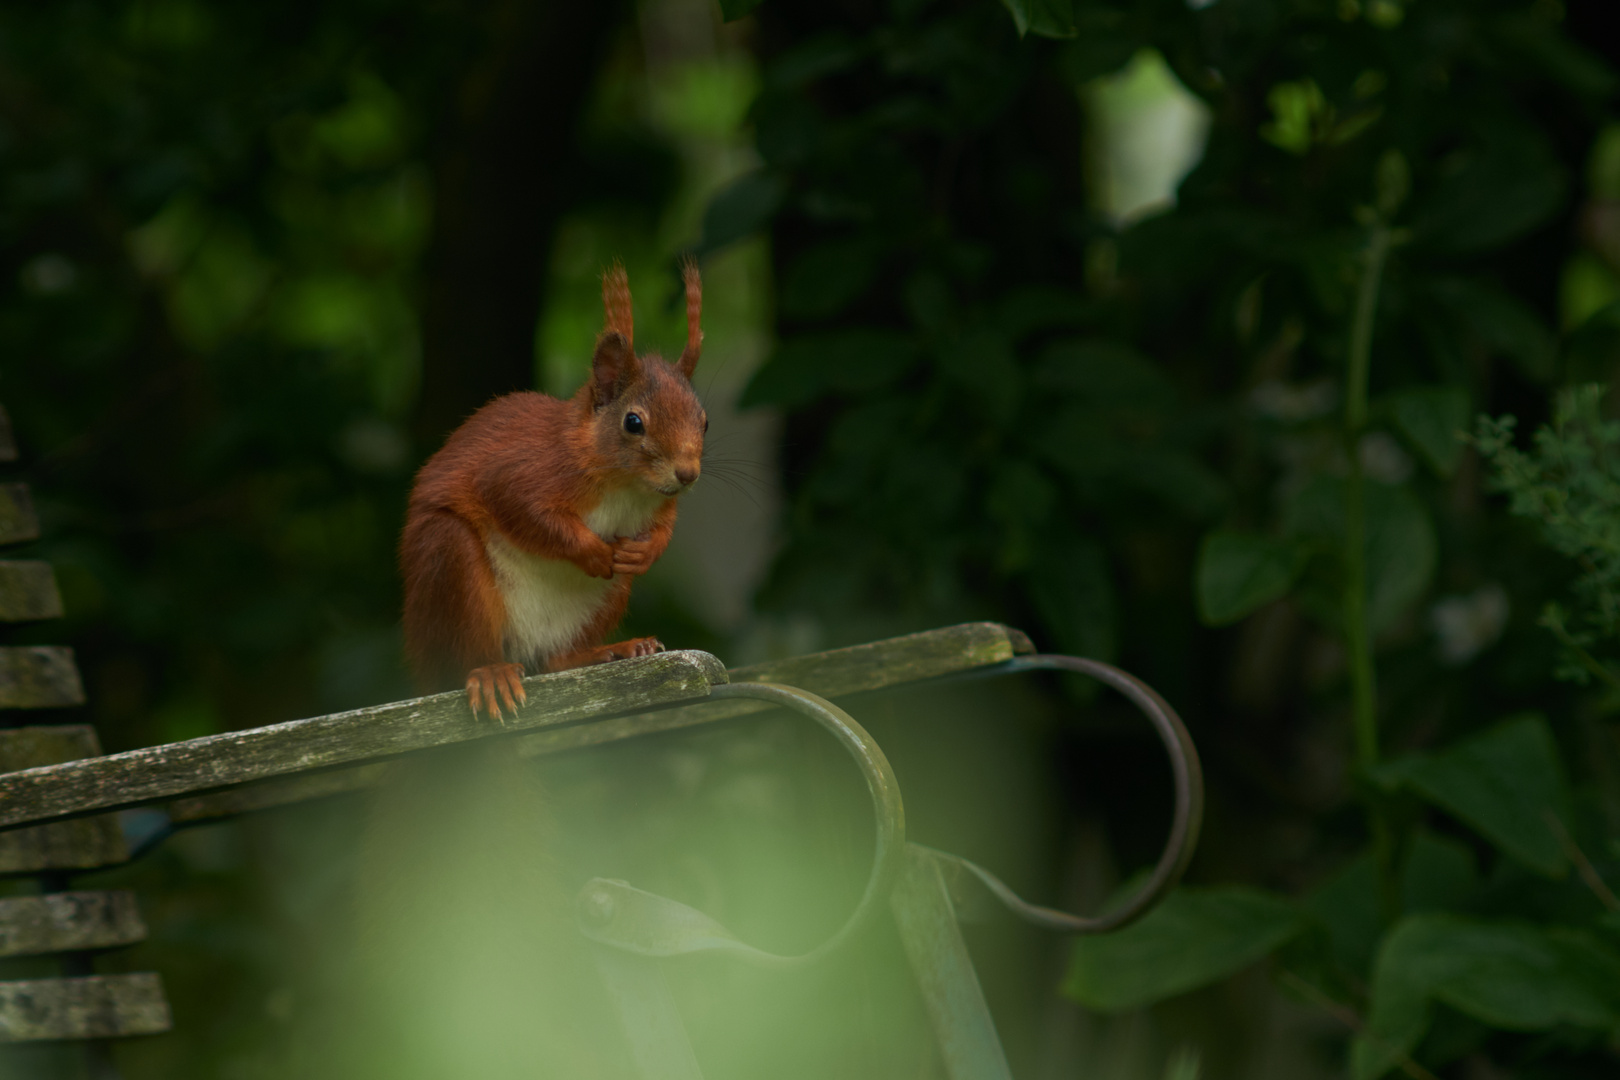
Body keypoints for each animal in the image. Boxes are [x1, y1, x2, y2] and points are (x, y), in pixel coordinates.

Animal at [398, 260, 703, 718]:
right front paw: (593, 552)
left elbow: (663, 529)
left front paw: (644, 552)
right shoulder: (523, 471)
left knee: (556, 660)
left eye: (704, 421)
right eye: (633, 422)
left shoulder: (659, 505)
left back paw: (611, 650)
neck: (625, 487)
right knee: (467, 656)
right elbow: (529, 513)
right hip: (447, 565)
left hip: (606, 599)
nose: (687, 474)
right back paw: (491, 673)